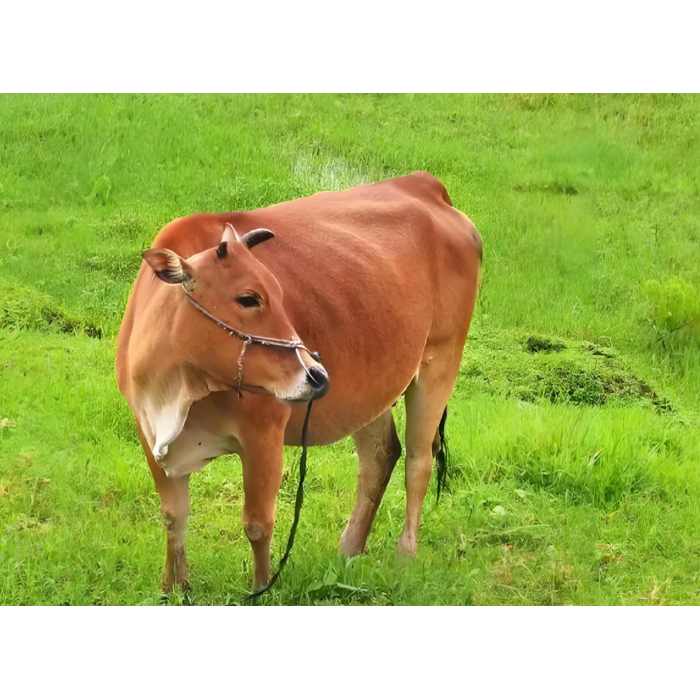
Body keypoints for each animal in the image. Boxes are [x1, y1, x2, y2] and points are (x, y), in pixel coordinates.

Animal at [115, 171, 482, 593]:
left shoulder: (263, 436)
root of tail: (426, 185)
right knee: (380, 455)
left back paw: (404, 555)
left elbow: (258, 524)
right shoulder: (149, 433)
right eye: (248, 298)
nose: (316, 374)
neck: (176, 393)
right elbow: (174, 517)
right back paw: (348, 549)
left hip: (439, 363)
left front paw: (261, 588)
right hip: (374, 387)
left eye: (279, 292)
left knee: (419, 462)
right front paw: (172, 589)